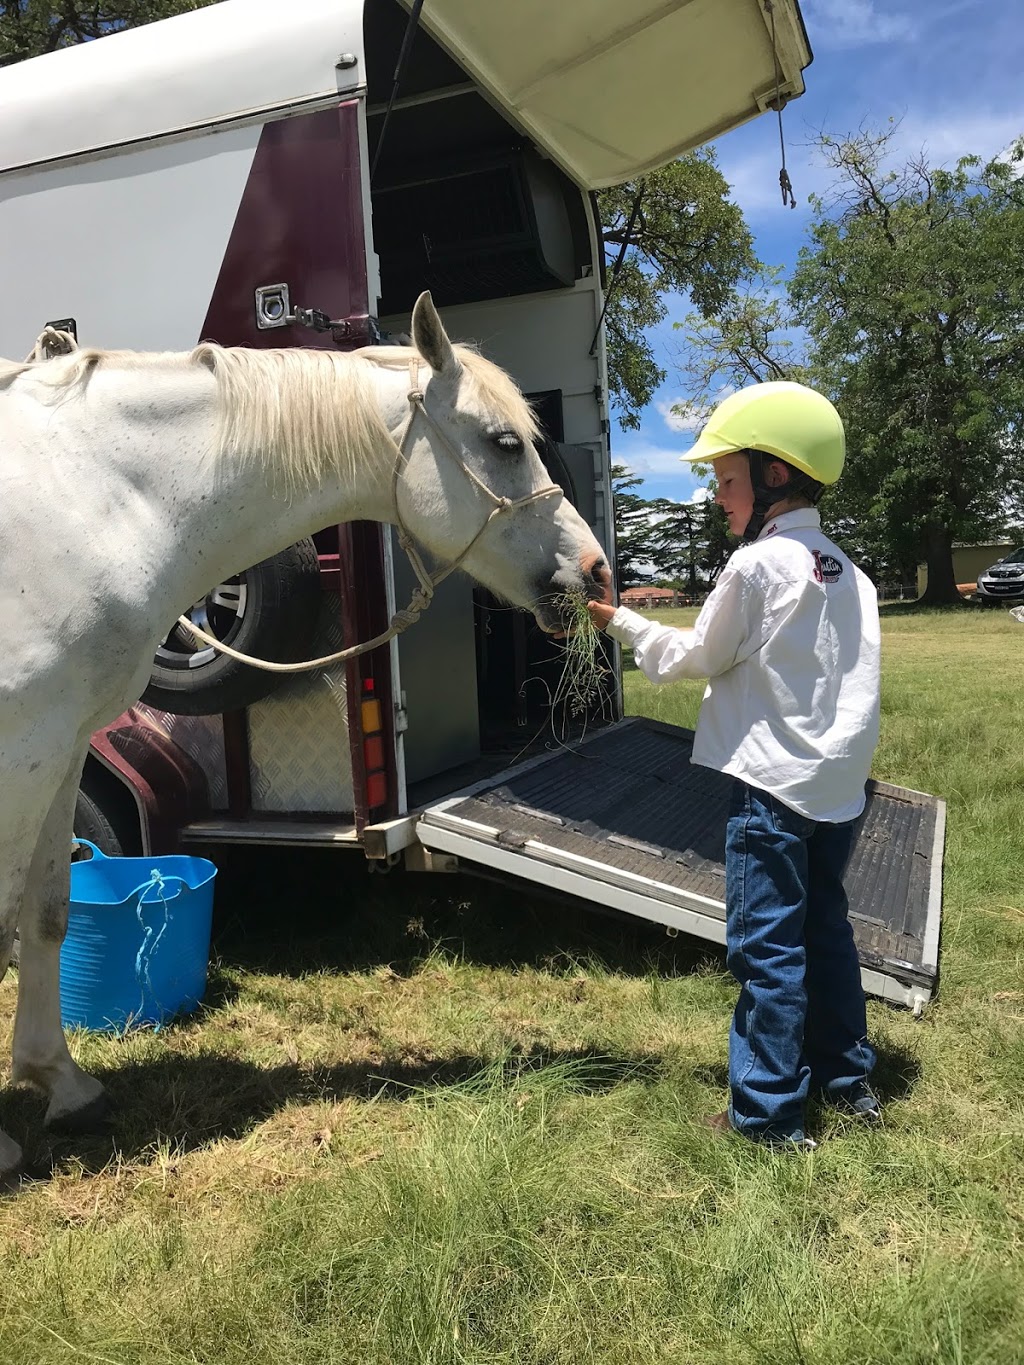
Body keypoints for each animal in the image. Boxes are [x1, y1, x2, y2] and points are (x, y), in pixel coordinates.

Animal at [0, 290, 608, 1173]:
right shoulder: (23, 748)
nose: (595, 574)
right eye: (504, 443)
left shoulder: (61, 743)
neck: (89, 491)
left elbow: (46, 912)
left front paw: (65, 1084)